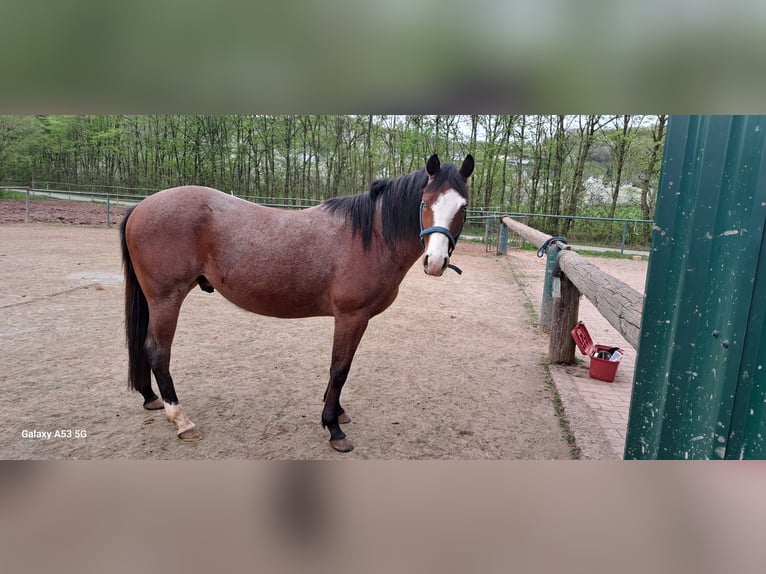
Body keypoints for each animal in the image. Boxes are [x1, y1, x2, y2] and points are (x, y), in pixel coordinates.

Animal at [120, 153, 474, 452]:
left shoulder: (355, 319)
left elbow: (340, 368)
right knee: (158, 351)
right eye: (425, 202)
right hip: (166, 299)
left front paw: (337, 412)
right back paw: (181, 420)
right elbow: (340, 368)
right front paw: (334, 428)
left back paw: (151, 398)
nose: (435, 262)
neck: (370, 237)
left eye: (463, 207)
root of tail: (140, 207)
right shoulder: (351, 316)